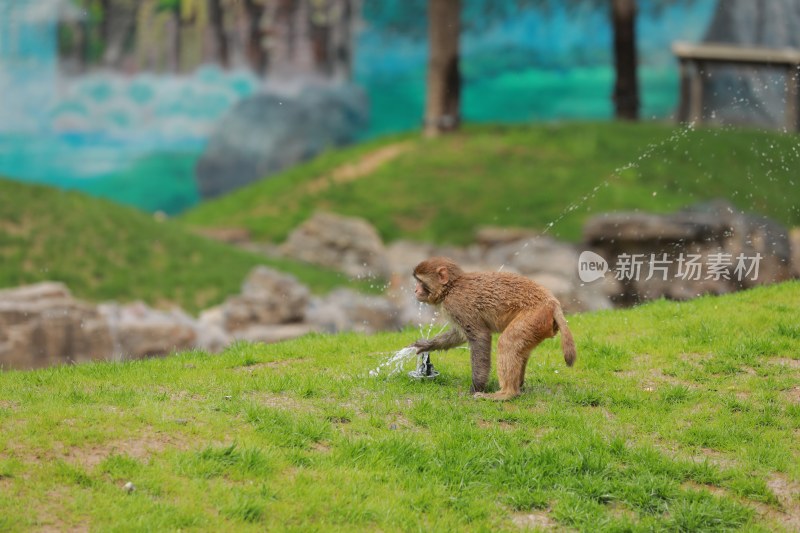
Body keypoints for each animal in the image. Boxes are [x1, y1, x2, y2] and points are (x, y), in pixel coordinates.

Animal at [412, 256, 576, 400]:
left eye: (420, 281)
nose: (415, 290)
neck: (451, 287)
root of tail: (552, 302)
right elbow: (459, 334)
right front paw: (426, 345)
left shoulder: (456, 304)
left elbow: (480, 336)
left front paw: (476, 387)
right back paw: (518, 385)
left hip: (534, 316)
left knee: (507, 342)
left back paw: (507, 393)